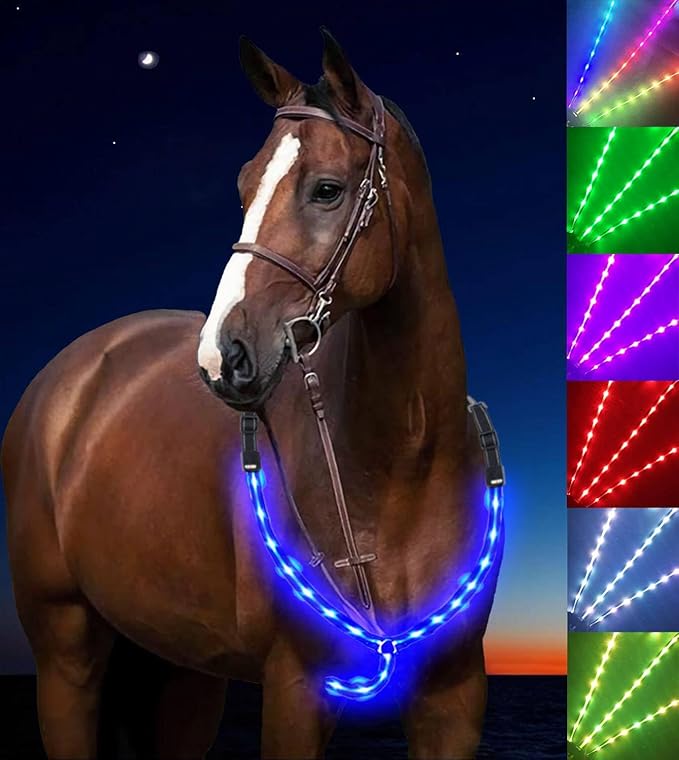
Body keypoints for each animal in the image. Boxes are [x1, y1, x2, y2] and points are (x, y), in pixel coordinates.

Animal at [2, 29, 503, 759]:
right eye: (244, 185)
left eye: (327, 189)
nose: (222, 357)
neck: (403, 464)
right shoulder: (294, 688)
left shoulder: (455, 697)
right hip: (65, 651)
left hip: (182, 672)